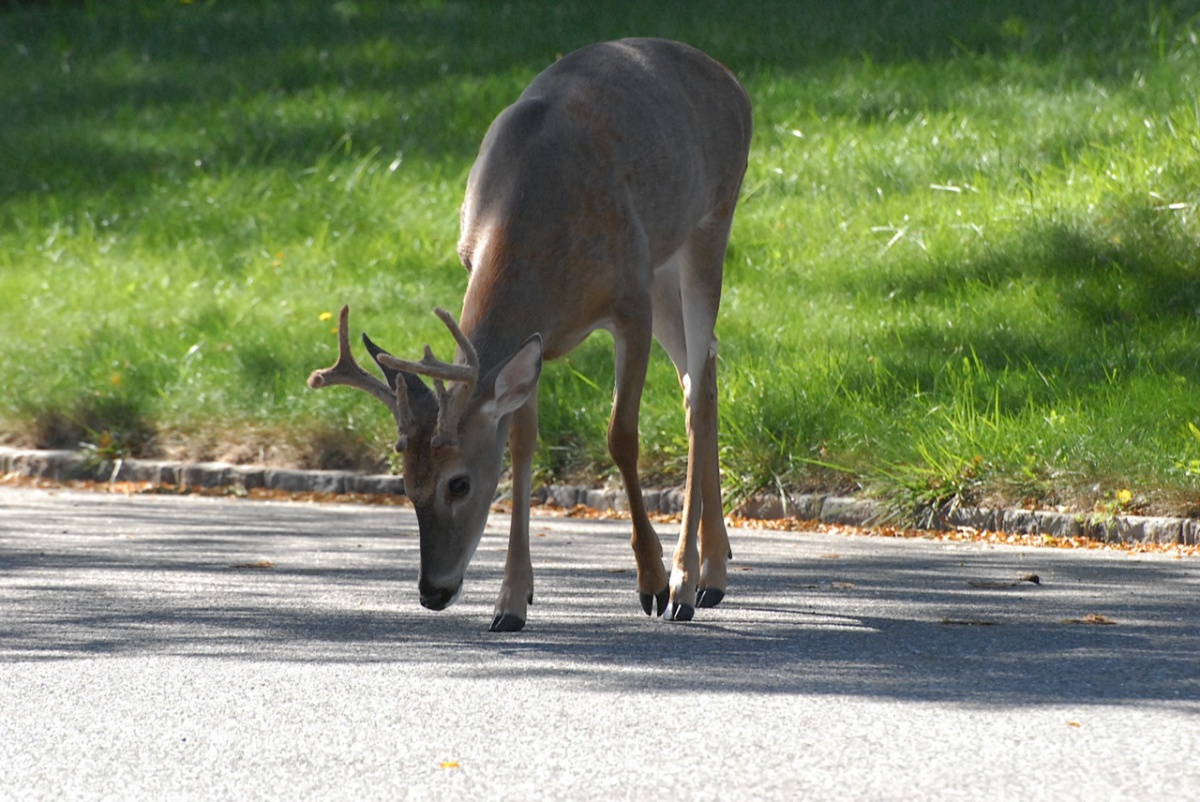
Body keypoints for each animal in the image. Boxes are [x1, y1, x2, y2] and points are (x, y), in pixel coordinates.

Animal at [304, 37, 748, 629]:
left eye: (460, 482)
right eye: (405, 484)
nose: (432, 592)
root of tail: (729, 78)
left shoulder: (628, 299)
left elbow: (621, 436)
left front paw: (651, 582)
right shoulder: (533, 341)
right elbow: (521, 445)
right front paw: (511, 600)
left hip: (710, 221)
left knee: (698, 388)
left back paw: (686, 582)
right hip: (662, 260)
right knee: (703, 375)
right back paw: (715, 570)